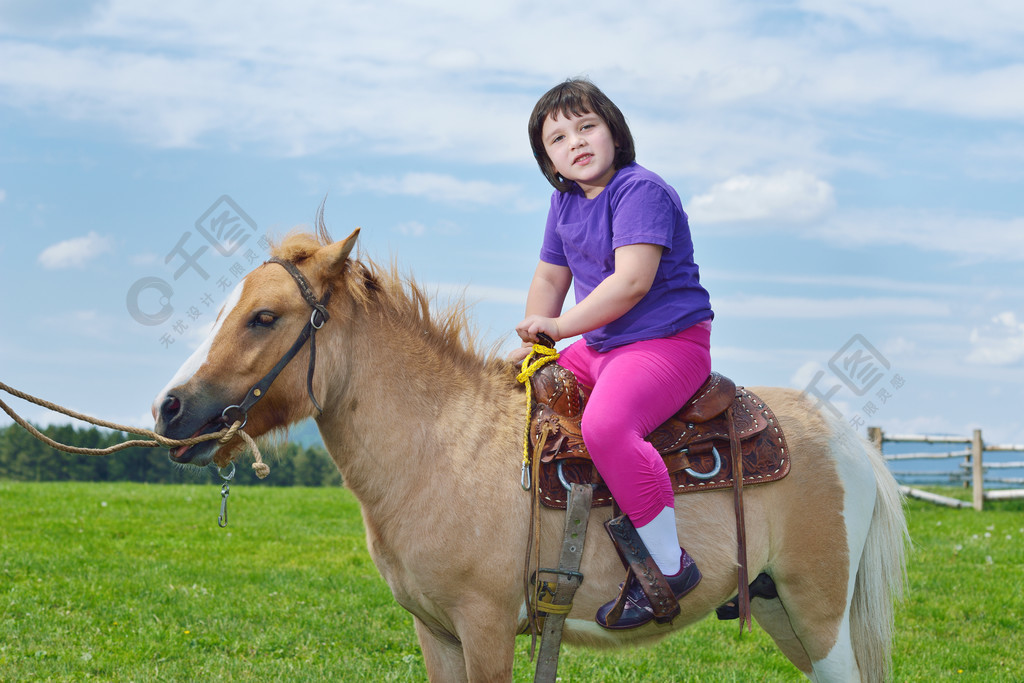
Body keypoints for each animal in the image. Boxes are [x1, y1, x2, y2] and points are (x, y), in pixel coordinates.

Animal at [149, 225, 905, 683]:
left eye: (264, 317)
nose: (169, 409)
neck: (440, 442)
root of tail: (846, 438)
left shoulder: (486, 627)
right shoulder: (437, 633)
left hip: (819, 615)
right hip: (781, 611)